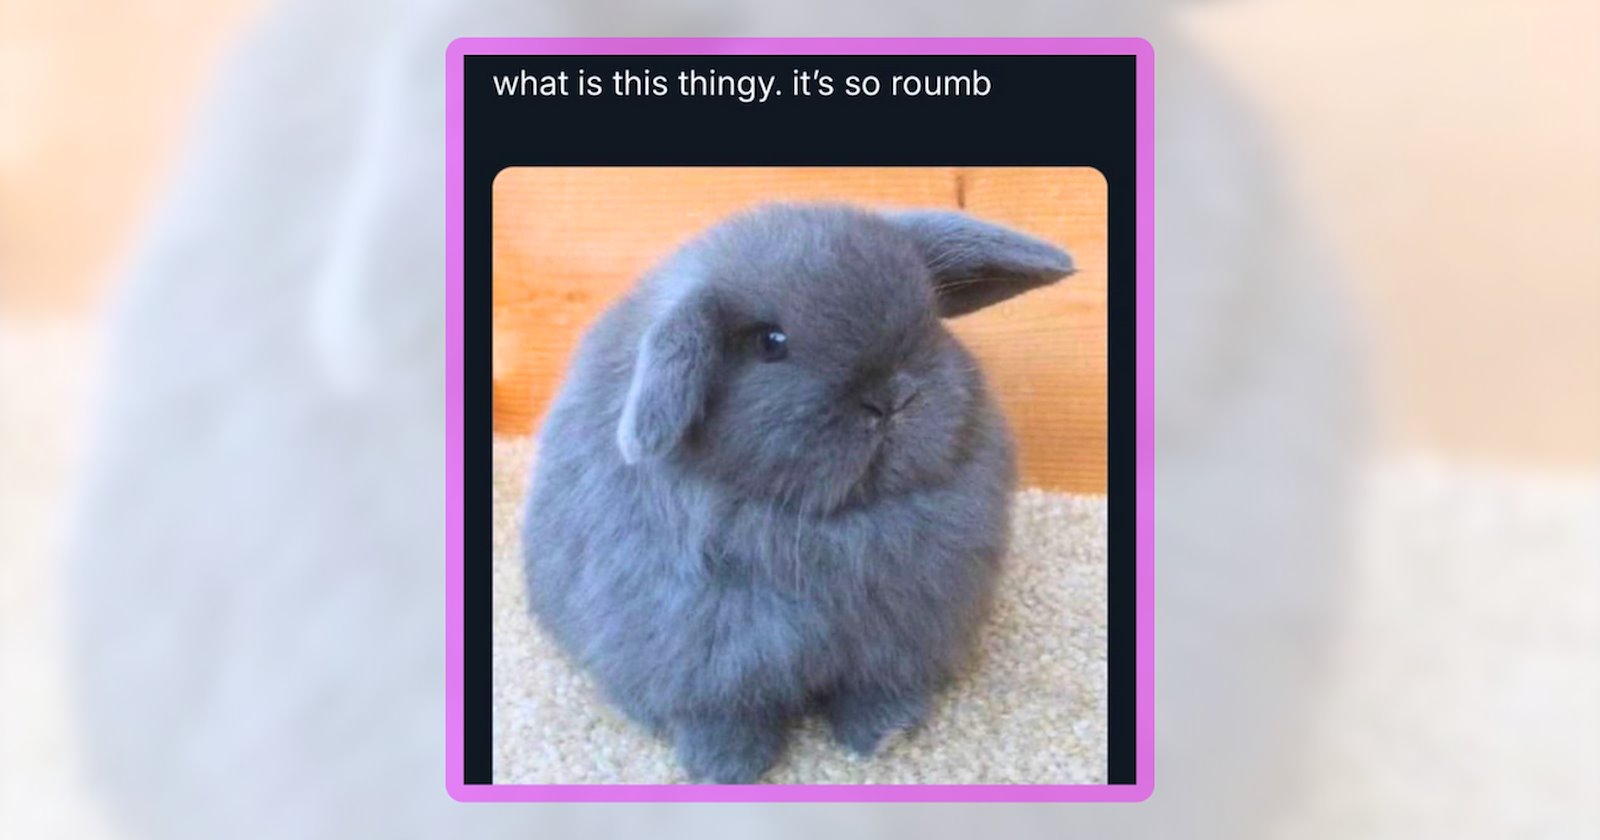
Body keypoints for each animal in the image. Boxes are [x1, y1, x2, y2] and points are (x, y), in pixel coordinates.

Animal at [522, 203, 1074, 783]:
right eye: (770, 342)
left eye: (928, 316)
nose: (890, 399)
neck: (834, 525)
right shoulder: (702, 658)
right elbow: (720, 715)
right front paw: (727, 767)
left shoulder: (894, 641)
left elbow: (875, 690)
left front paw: (886, 734)